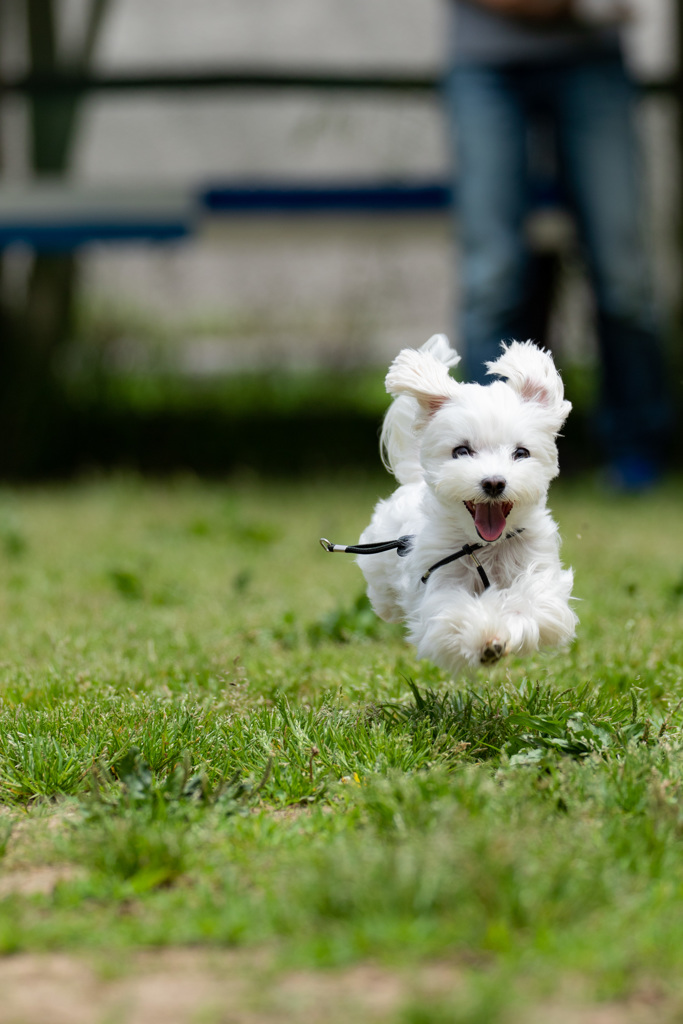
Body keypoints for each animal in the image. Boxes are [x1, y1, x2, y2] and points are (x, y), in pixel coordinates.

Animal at [325, 333, 577, 671]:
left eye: (521, 452)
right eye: (462, 451)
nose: (494, 482)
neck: (484, 547)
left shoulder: (539, 574)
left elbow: (532, 606)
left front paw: (501, 632)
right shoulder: (439, 579)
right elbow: (452, 613)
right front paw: (484, 639)